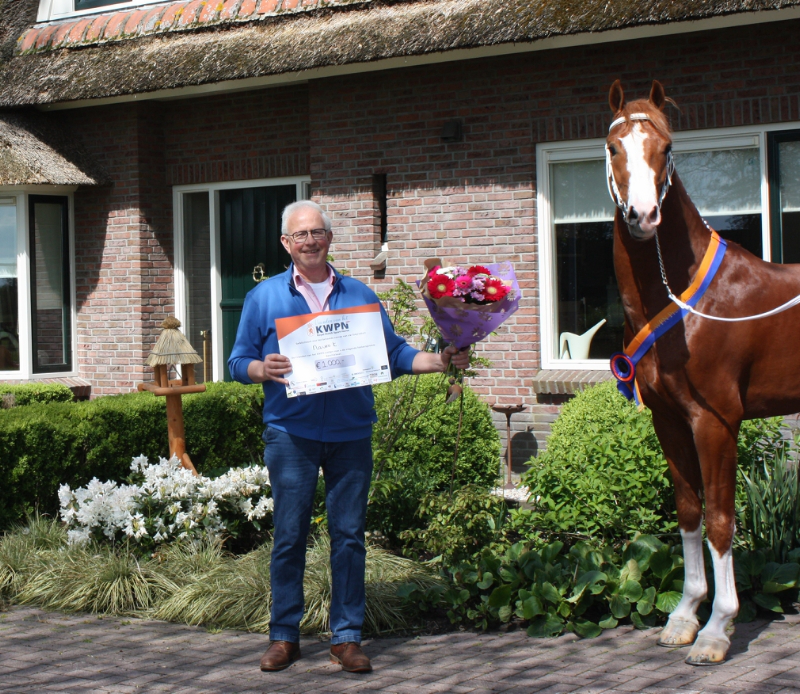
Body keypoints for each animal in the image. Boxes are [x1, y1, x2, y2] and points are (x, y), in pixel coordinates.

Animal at [606, 79, 800, 665]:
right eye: (614, 146)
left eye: (667, 148)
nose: (643, 216)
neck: (688, 300)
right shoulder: (669, 420)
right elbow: (689, 512)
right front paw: (684, 616)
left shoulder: (715, 421)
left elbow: (720, 519)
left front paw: (717, 629)